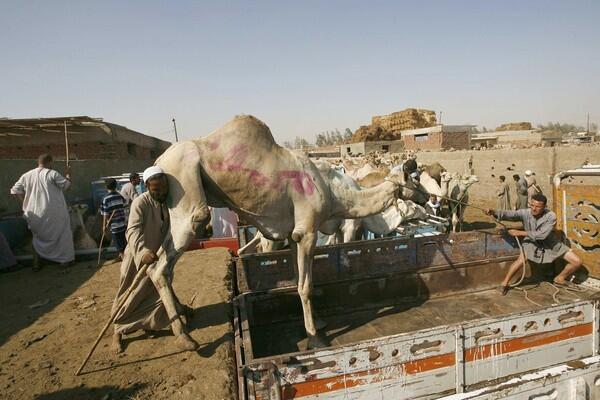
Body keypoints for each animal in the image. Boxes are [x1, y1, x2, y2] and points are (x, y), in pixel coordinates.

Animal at [150, 114, 408, 348]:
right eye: (412, 180)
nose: (423, 200)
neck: (334, 192)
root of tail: (160, 160)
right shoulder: (307, 231)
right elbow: (306, 286)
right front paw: (315, 337)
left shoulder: (294, 235)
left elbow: (299, 280)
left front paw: (318, 322)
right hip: (187, 188)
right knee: (161, 265)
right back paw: (185, 338)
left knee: (163, 263)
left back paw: (184, 314)